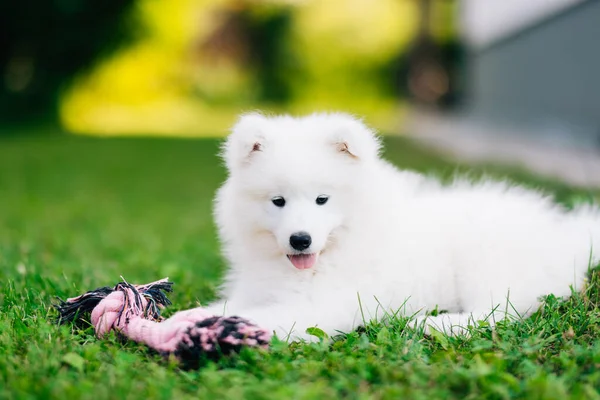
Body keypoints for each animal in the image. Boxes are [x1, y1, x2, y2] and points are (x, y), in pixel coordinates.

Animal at [205, 111, 600, 340]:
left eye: (322, 199)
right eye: (278, 201)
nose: (300, 240)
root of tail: (564, 236)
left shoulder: (328, 304)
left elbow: (267, 318)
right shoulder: (255, 289)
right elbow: (225, 307)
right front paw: (198, 318)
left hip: (485, 260)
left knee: (503, 310)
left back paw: (436, 324)